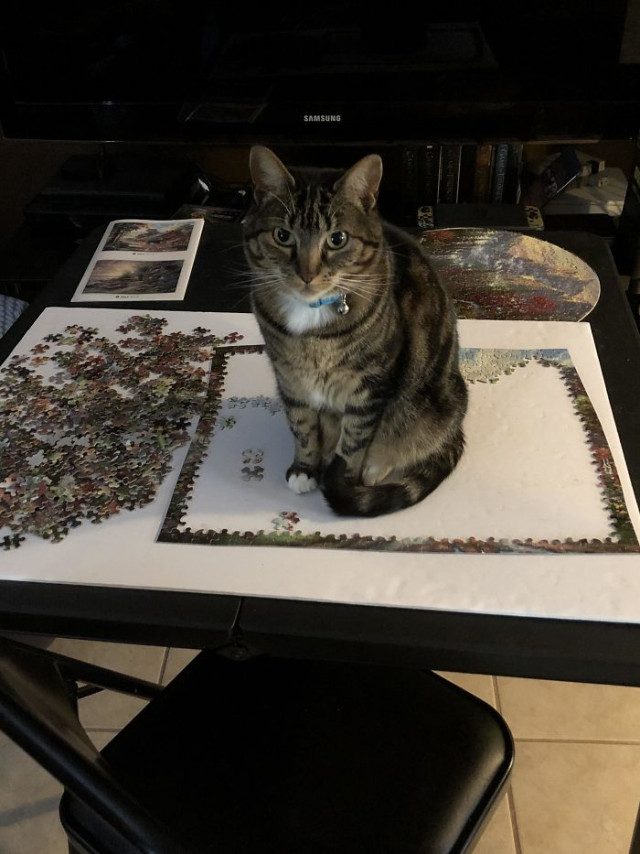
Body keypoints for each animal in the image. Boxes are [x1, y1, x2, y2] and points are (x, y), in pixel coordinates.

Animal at [242, 145, 468, 517]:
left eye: (337, 239)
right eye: (282, 235)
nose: (307, 274)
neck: (311, 320)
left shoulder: (371, 384)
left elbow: (355, 440)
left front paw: (344, 480)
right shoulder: (289, 375)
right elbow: (301, 424)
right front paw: (305, 468)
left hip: (431, 407)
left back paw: (375, 469)